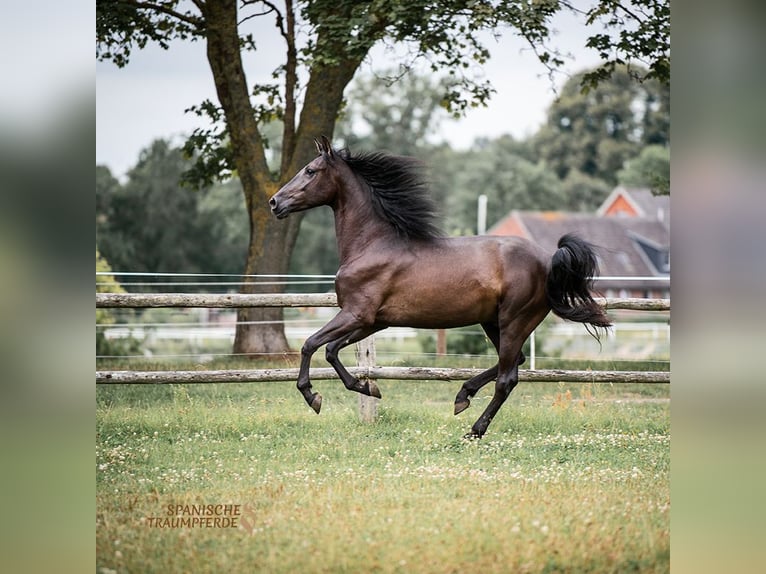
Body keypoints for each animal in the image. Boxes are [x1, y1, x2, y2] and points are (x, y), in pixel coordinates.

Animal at [270, 137, 612, 438]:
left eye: (310, 170)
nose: (274, 202)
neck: (373, 244)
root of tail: (548, 259)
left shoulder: (357, 314)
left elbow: (310, 344)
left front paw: (313, 396)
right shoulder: (374, 322)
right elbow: (331, 350)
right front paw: (369, 387)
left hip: (515, 321)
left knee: (507, 378)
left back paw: (474, 430)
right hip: (493, 322)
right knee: (516, 363)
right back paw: (463, 396)